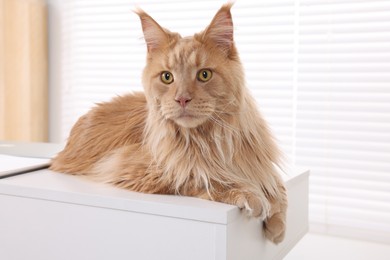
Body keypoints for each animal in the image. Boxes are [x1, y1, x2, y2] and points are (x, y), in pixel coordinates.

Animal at [50, 3, 288, 244]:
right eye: (167, 77)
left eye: (204, 75)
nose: (182, 99)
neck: (209, 140)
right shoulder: (133, 168)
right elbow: (203, 178)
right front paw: (250, 195)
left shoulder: (258, 162)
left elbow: (277, 185)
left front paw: (277, 223)